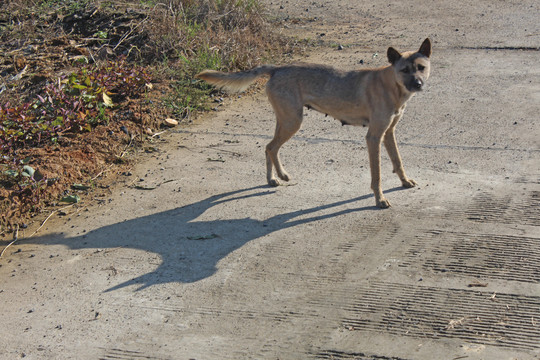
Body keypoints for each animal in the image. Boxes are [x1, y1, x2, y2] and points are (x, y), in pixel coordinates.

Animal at [196, 37, 432, 208]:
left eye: (421, 67)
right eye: (404, 70)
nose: (418, 84)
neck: (392, 86)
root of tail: (277, 68)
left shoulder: (389, 132)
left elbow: (398, 161)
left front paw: (405, 182)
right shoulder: (373, 137)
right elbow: (377, 175)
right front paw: (380, 199)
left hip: (285, 121)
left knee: (269, 147)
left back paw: (275, 177)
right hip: (293, 122)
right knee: (271, 147)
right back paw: (275, 177)